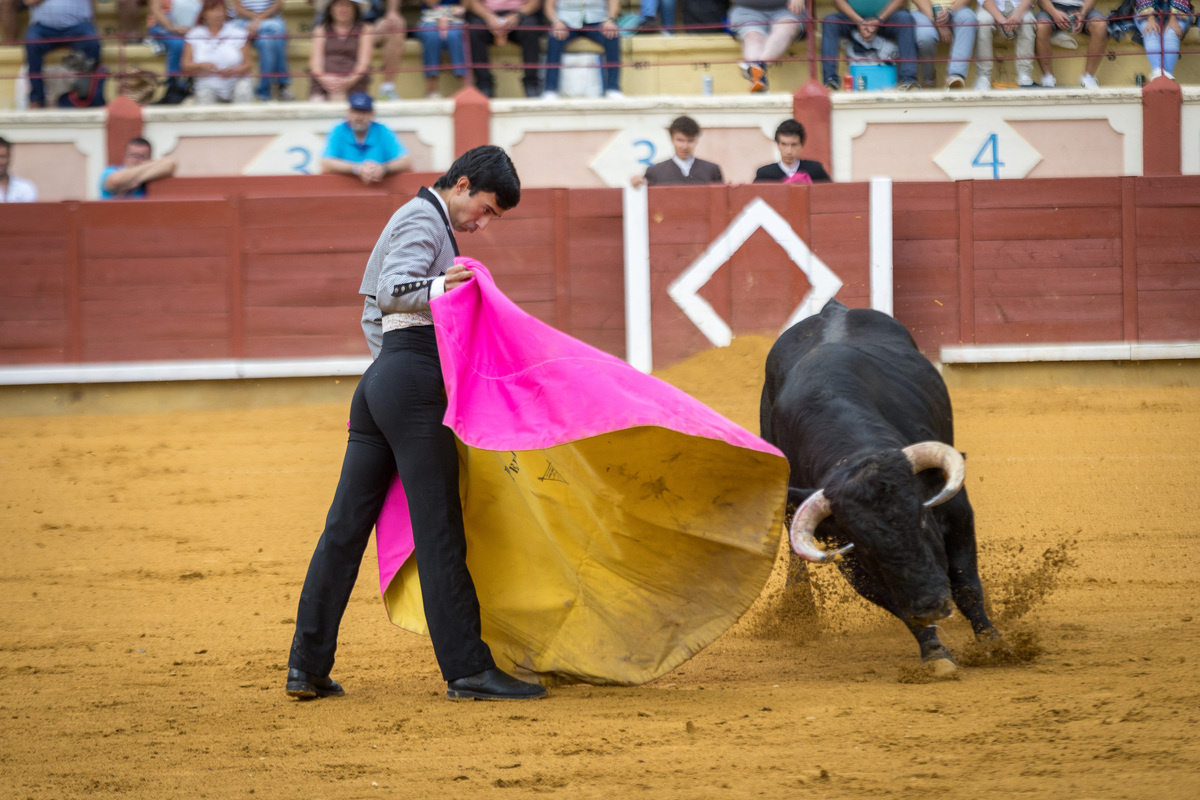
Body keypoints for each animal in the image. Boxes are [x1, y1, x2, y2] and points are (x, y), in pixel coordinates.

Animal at [763, 297, 1008, 671]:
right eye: (865, 545)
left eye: (921, 520)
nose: (930, 605)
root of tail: (832, 309)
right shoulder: (849, 556)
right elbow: (898, 606)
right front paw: (936, 655)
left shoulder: (956, 512)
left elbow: (966, 583)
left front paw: (992, 643)